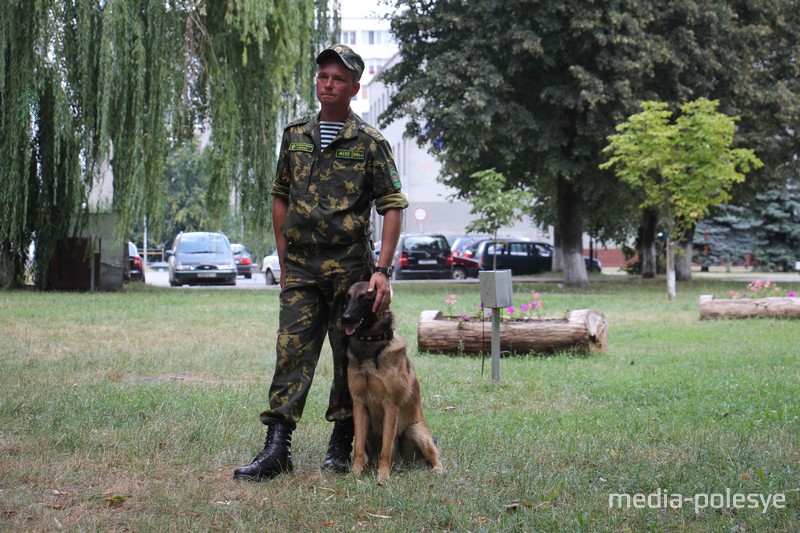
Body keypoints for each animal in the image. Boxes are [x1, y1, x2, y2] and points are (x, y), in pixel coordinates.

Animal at [342, 280, 444, 480]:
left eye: (364, 299)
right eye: (348, 298)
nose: (345, 318)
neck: (370, 344)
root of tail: (402, 464)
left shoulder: (391, 405)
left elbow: (386, 448)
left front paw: (383, 477)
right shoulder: (359, 405)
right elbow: (358, 448)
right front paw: (355, 474)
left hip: (414, 431)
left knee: (435, 457)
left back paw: (437, 469)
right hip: (369, 431)